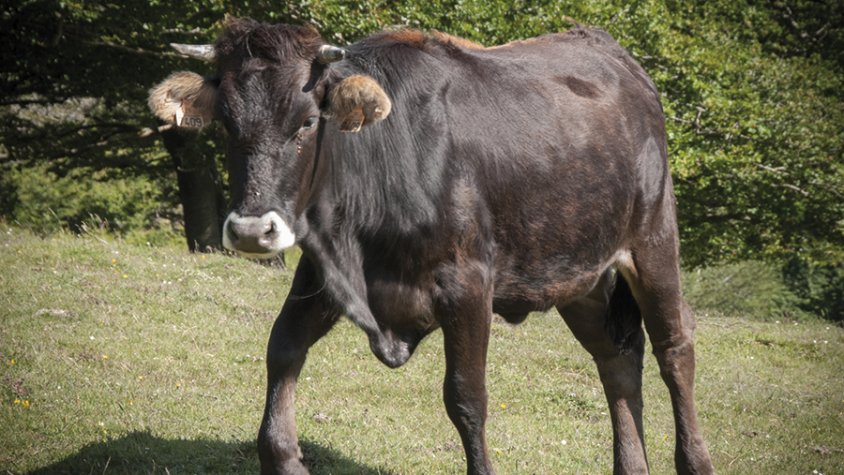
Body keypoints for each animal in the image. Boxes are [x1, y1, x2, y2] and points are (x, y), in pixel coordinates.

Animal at [149, 17, 714, 475]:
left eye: (307, 121)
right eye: (226, 123)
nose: (251, 231)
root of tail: (608, 49)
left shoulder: (468, 284)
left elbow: (466, 397)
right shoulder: (323, 271)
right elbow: (282, 350)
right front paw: (283, 455)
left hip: (652, 240)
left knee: (674, 348)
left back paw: (695, 459)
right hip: (577, 270)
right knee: (616, 358)